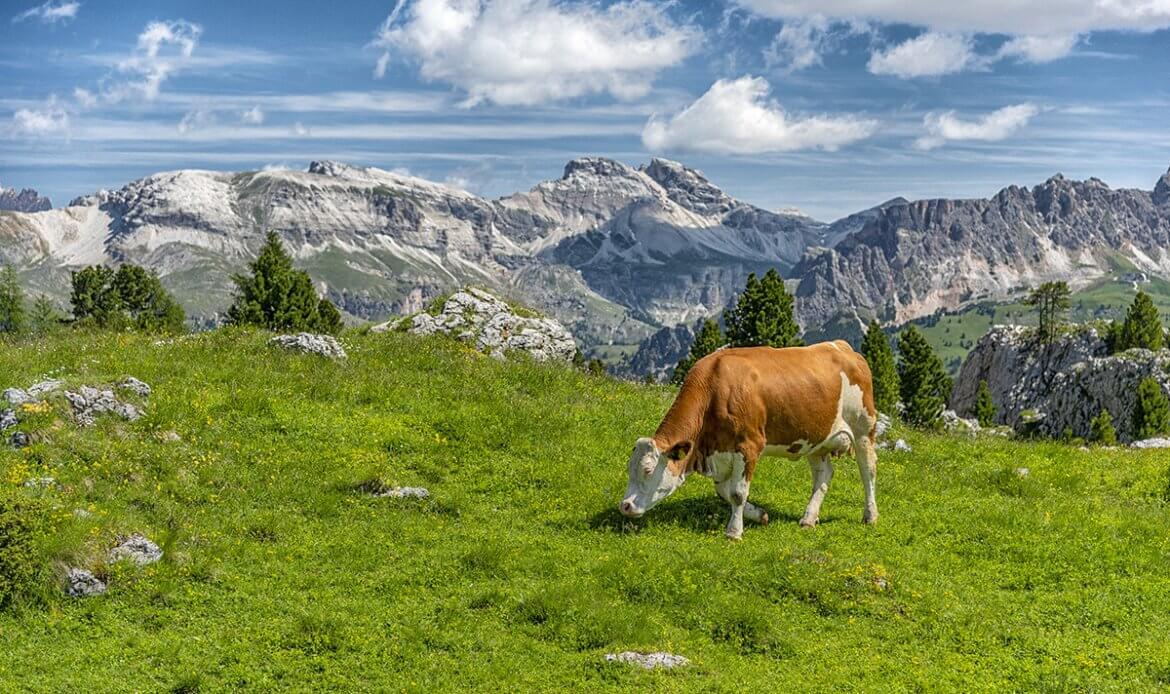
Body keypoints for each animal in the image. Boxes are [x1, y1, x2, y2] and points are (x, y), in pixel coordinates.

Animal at [622, 341, 879, 540]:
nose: (624, 506)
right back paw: (808, 518)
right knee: (823, 475)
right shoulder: (721, 451)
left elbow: (737, 492)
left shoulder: (748, 446)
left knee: (868, 470)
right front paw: (760, 515)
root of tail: (842, 347)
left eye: (647, 470)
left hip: (863, 429)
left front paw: (734, 532)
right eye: (629, 469)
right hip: (816, 439)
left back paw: (870, 515)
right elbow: (724, 491)